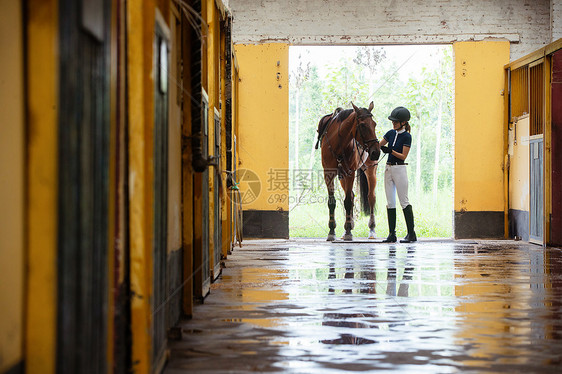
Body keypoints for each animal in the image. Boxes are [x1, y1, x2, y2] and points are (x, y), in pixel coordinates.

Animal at [316, 102, 380, 241]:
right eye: (363, 125)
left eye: (374, 124)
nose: (376, 152)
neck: (338, 143)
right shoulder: (329, 174)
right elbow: (332, 202)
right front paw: (332, 230)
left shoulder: (350, 173)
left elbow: (348, 202)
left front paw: (349, 231)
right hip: (342, 177)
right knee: (350, 195)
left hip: (370, 170)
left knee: (371, 198)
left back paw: (372, 229)